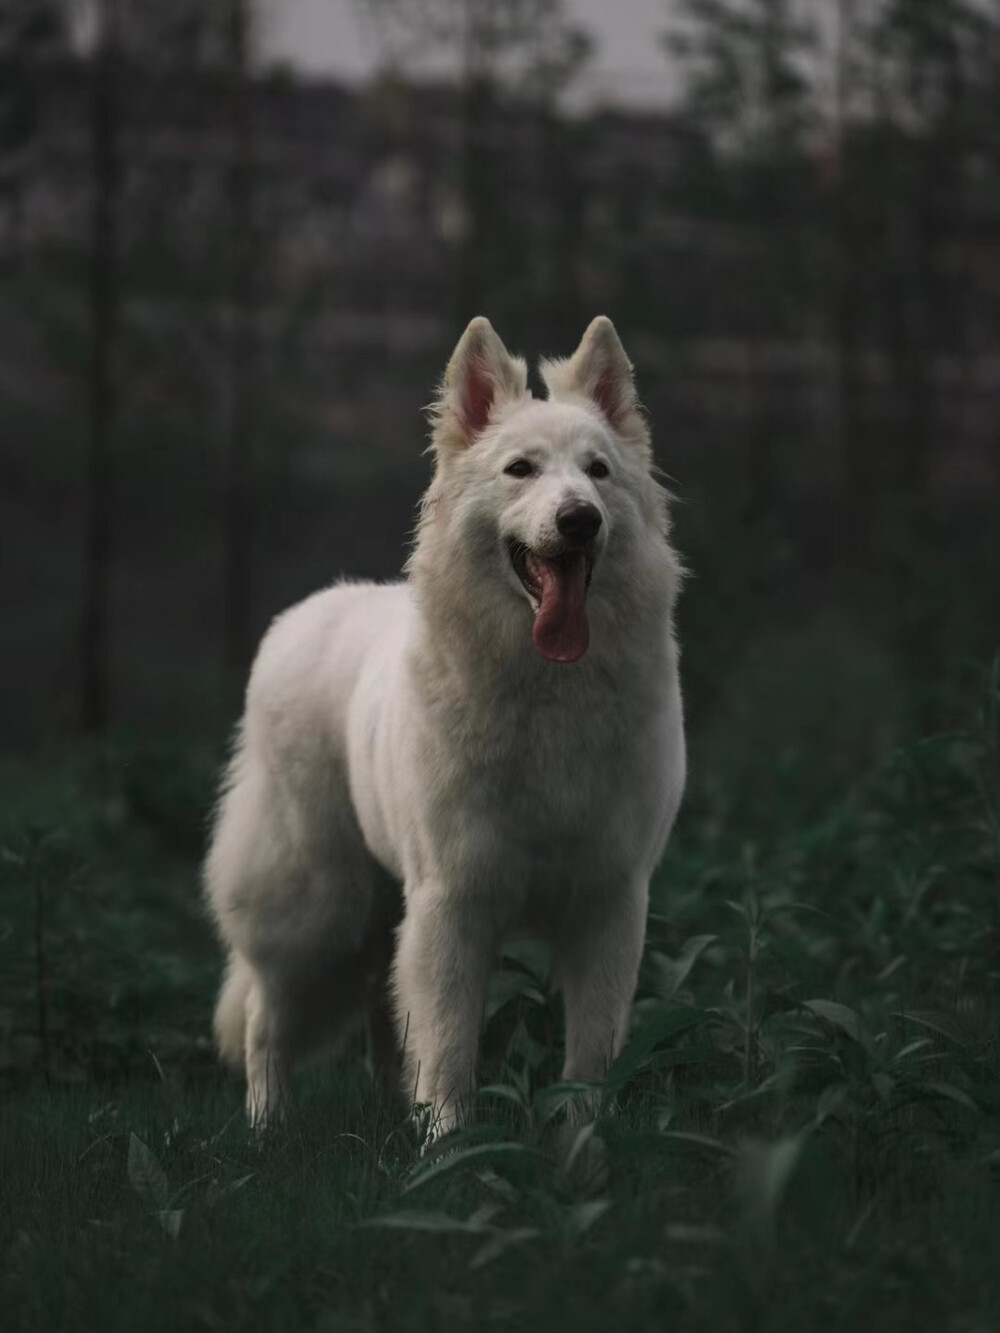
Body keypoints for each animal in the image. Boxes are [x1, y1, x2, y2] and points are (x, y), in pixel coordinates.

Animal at [205, 314, 688, 1135]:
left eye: (597, 471)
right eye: (521, 470)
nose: (580, 520)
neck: (546, 688)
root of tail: (303, 614)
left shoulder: (609, 902)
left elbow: (589, 1052)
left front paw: (581, 1141)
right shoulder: (454, 903)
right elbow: (450, 1046)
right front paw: (449, 1147)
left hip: (376, 912)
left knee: (379, 1009)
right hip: (316, 903)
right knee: (269, 1015)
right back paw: (269, 1126)